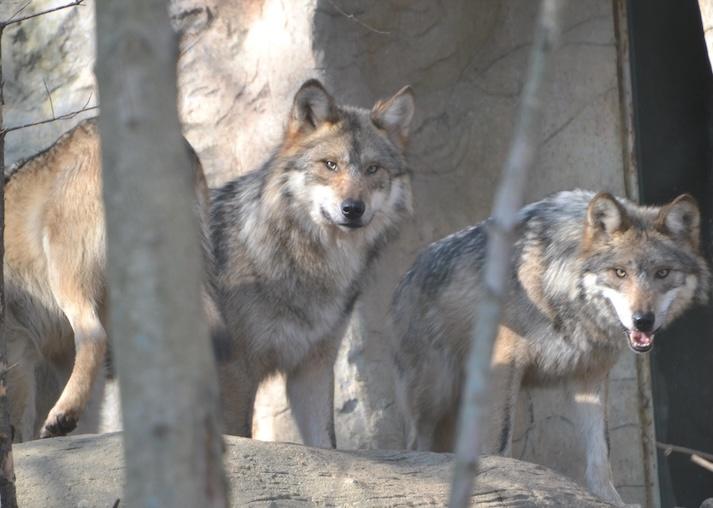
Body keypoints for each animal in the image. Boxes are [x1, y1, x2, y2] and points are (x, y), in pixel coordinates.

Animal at [212, 79, 414, 448]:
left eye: (373, 169)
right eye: (330, 164)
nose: (353, 209)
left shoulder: (313, 365)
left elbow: (325, 444)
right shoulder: (235, 371)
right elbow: (239, 437)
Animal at [391, 189, 709, 505]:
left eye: (662, 273)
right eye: (619, 273)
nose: (643, 320)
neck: (558, 286)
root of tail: (406, 276)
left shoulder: (589, 377)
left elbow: (600, 452)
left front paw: (609, 499)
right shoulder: (506, 364)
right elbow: (499, 442)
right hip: (435, 396)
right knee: (416, 445)